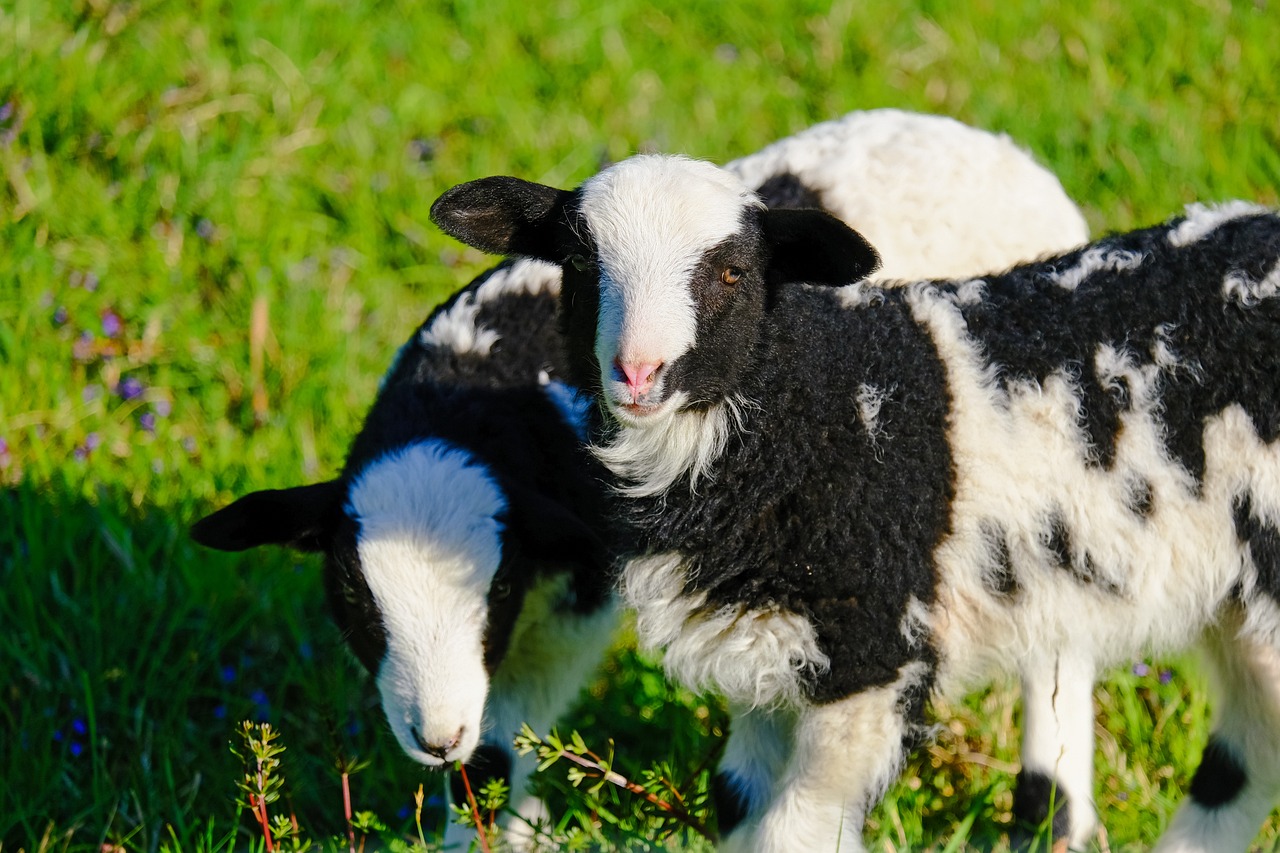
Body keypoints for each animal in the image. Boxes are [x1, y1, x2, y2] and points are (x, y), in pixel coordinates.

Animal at [193, 110, 1089, 847]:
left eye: (498, 589)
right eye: (350, 592)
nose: (434, 735)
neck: (475, 390)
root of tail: (1002, 151)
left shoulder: (572, 606)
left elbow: (503, 738)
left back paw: (1050, 816)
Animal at [429, 153, 1280, 852]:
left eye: (733, 272)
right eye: (579, 259)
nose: (639, 372)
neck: (819, 407)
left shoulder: (870, 647)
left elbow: (791, 831)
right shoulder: (765, 656)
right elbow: (736, 806)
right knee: (1247, 757)